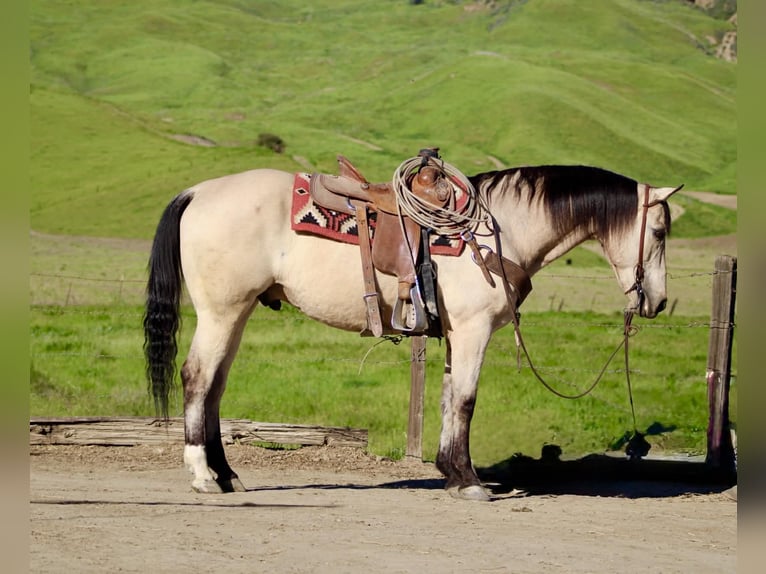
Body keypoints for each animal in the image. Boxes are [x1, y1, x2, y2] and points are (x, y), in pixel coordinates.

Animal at [143, 159, 681, 501]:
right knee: (197, 379)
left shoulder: (456, 335)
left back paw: (227, 475)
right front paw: (468, 482)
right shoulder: (473, 330)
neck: (497, 232)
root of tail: (198, 193)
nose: (656, 301)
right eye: (658, 232)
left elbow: (447, 398)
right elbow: (465, 401)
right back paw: (203, 477)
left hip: (236, 313)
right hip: (221, 312)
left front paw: (449, 472)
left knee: (215, 387)